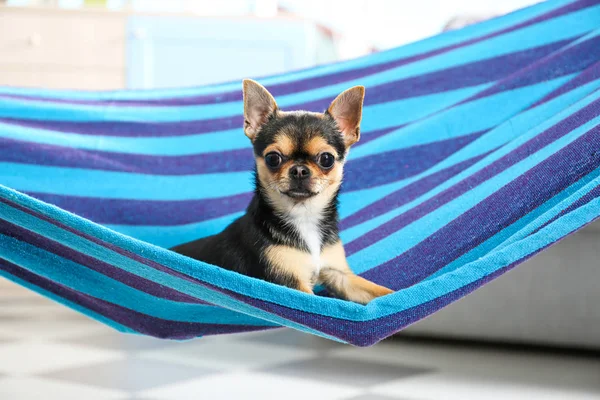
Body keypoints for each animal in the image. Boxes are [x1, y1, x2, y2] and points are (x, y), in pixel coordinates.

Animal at [170, 79, 394, 304]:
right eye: (273, 158)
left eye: (326, 159)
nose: (299, 170)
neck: (304, 216)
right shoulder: (291, 284)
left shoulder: (338, 274)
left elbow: (378, 291)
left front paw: (395, 298)